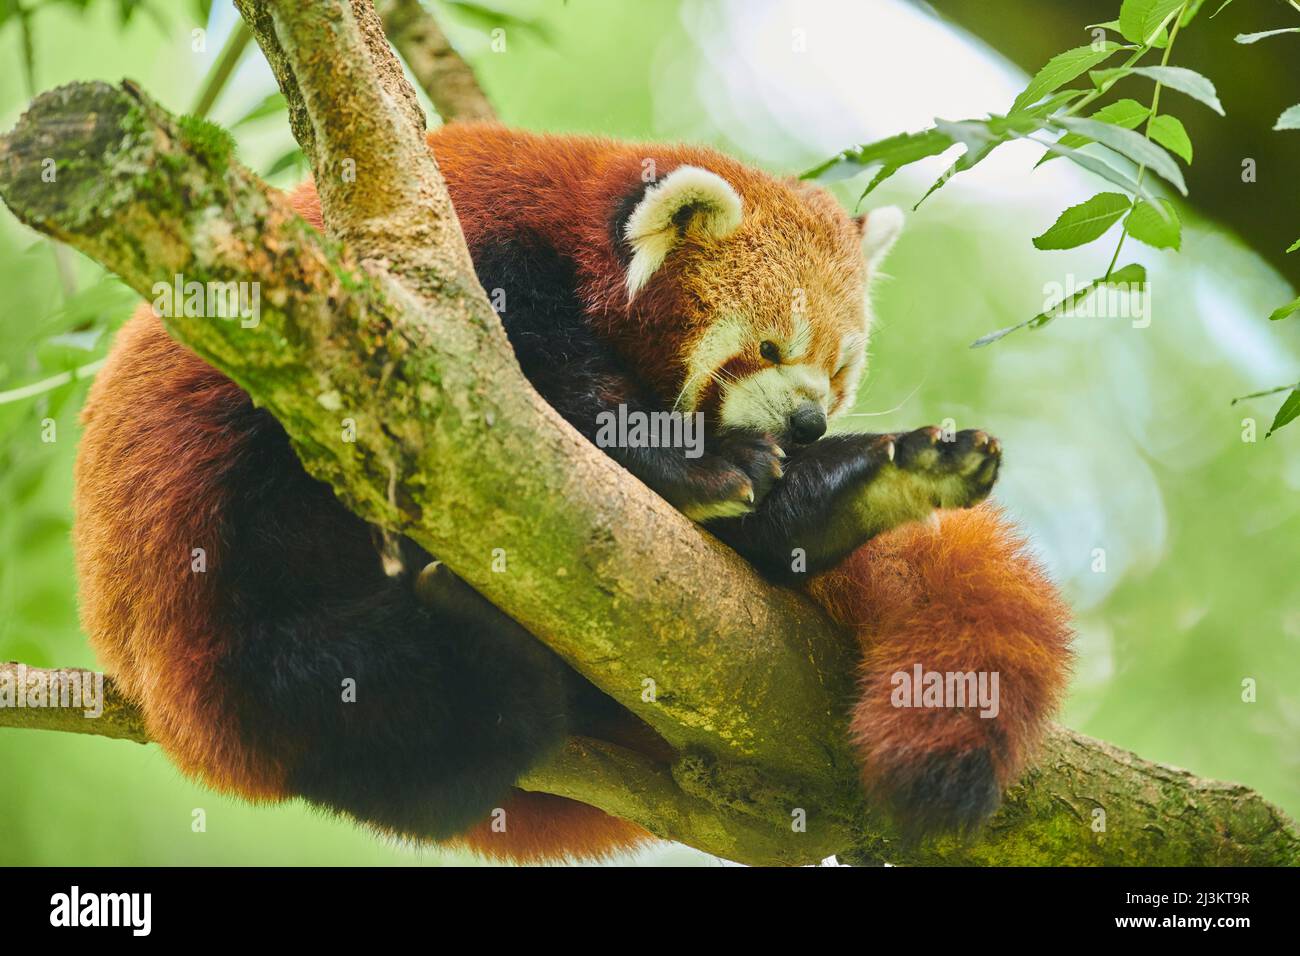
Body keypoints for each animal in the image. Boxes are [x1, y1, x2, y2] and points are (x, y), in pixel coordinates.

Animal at [71, 123, 1071, 863]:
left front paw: (785, 480)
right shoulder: (458, 270)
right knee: (369, 702)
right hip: (224, 600)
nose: (806, 425)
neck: (576, 217)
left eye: (837, 367)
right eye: (769, 347)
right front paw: (696, 464)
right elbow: (554, 389)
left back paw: (851, 494)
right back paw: (483, 637)